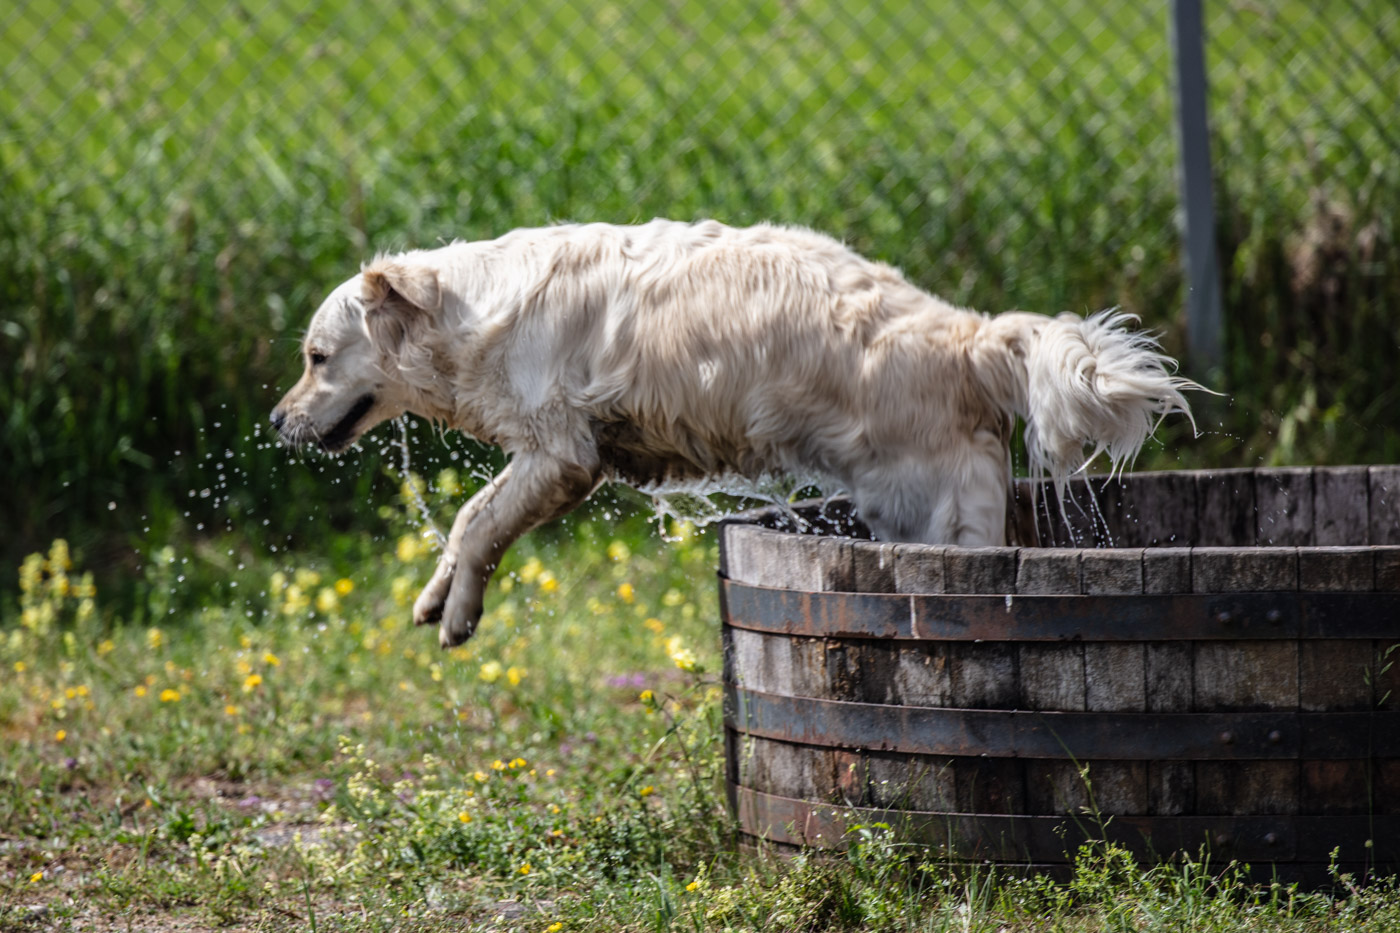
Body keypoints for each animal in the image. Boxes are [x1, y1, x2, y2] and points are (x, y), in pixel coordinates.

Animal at [270, 218, 1192, 644]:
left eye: (316, 357)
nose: (276, 420)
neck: (467, 312)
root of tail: (968, 338)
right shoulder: (556, 456)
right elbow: (471, 521)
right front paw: (436, 594)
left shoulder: (561, 451)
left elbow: (477, 520)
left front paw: (458, 612)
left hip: (932, 514)